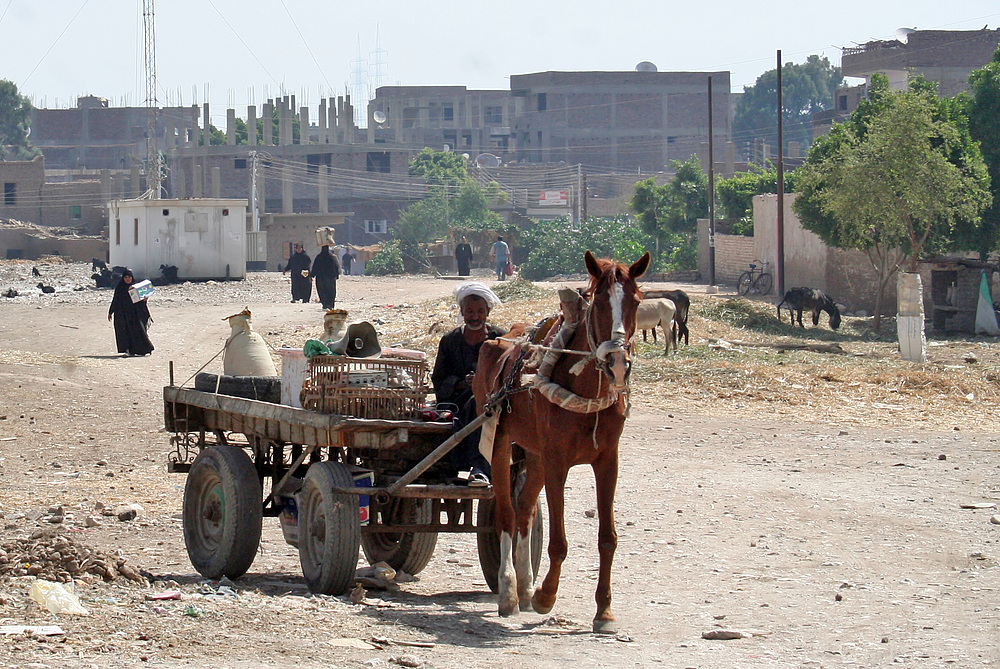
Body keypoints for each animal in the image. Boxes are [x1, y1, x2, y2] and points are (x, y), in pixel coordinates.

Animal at [474, 249, 652, 632]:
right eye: (597, 301)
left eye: (636, 300)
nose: (618, 364)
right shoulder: (557, 461)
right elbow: (557, 542)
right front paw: (546, 596)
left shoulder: (607, 461)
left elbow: (608, 538)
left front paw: (604, 611)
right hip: (499, 443)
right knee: (507, 514)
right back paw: (510, 591)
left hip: (535, 455)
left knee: (525, 510)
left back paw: (525, 586)